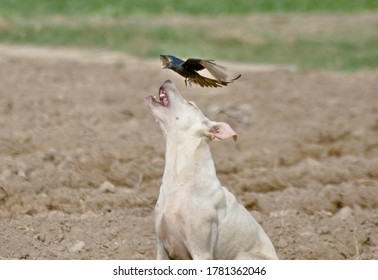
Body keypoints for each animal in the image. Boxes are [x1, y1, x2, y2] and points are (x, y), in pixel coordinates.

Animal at [145, 80, 278, 260]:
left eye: (191, 104)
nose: (168, 80)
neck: (179, 180)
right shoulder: (161, 247)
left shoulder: (201, 251)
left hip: (242, 256)